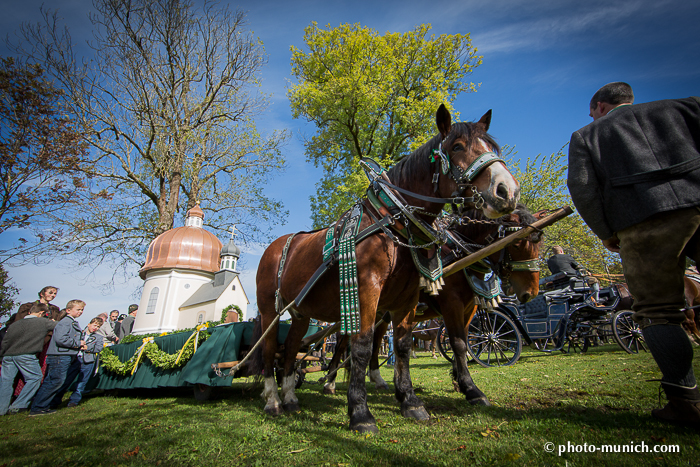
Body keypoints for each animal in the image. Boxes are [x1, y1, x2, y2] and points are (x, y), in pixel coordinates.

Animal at [322, 205, 540, 406]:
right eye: (517, 242)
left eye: (539, 243)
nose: (530, 293)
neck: (459, 253)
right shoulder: (452, 304)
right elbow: (458, 344)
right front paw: (470, 388)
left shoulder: (469, 309)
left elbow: (463, 341)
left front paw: (459, 379)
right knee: (342, 343)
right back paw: (329, 381)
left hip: (381, 314)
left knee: (375, 341)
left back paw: (377, 378)